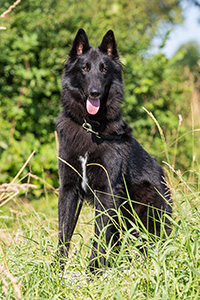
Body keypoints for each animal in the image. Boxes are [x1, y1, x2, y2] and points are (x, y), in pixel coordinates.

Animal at [55, 28, 171, 272]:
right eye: (85, 68)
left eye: (104, 69)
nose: (95, 93)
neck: (90, 126)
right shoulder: (69, 188)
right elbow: (64, 235)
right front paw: (54, 273)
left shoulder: (107, 191)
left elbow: (99, 238)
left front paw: (92, 275)